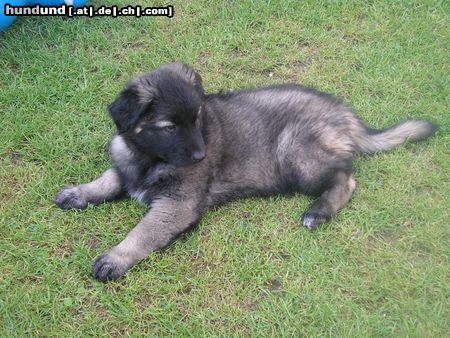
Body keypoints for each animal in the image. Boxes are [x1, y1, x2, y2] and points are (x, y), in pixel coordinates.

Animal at [52, 62, 436, 280]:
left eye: (197, 119)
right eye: (170, 127)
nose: (200, 155)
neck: (149, 156)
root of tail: (348, 117)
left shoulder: (177, 204)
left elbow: (143, 232)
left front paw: (116, 257)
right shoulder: (127, 167)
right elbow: (106, 180)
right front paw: (77, 193)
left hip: (294, 151)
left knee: (346, 178)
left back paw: (319, 211)